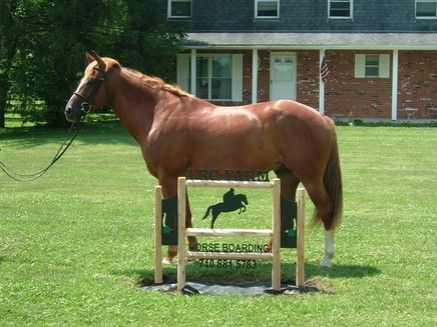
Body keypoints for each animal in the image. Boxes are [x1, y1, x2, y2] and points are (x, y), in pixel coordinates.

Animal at [65, 52, 340, 270]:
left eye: (94, 79)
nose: (70, 110)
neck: (160, 112)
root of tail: (322, 118)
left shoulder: (168, 176)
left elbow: (175, 216)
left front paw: (169, 256)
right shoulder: (179, 177)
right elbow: (185, 215)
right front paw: (192, 251)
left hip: (310, 178)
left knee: (326, 209)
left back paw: (326, 259)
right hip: (288, 176)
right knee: (284, 213)